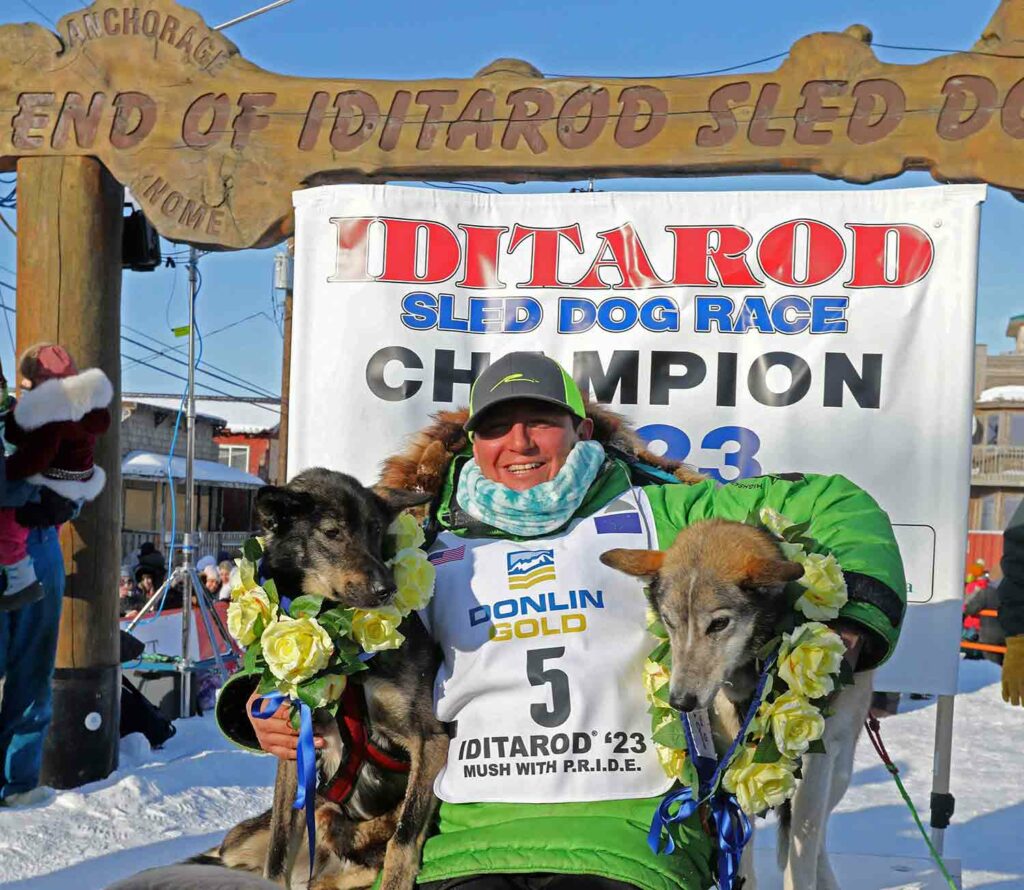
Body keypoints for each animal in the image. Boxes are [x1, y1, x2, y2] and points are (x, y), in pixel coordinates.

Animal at [602, 518, 876, 888]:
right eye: (670, 622)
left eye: (718, 623)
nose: (681, 701)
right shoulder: (732, 766)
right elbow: (738, 848)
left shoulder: (814, 766)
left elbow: (802, 853)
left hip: (839, 768)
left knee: (814, 839)